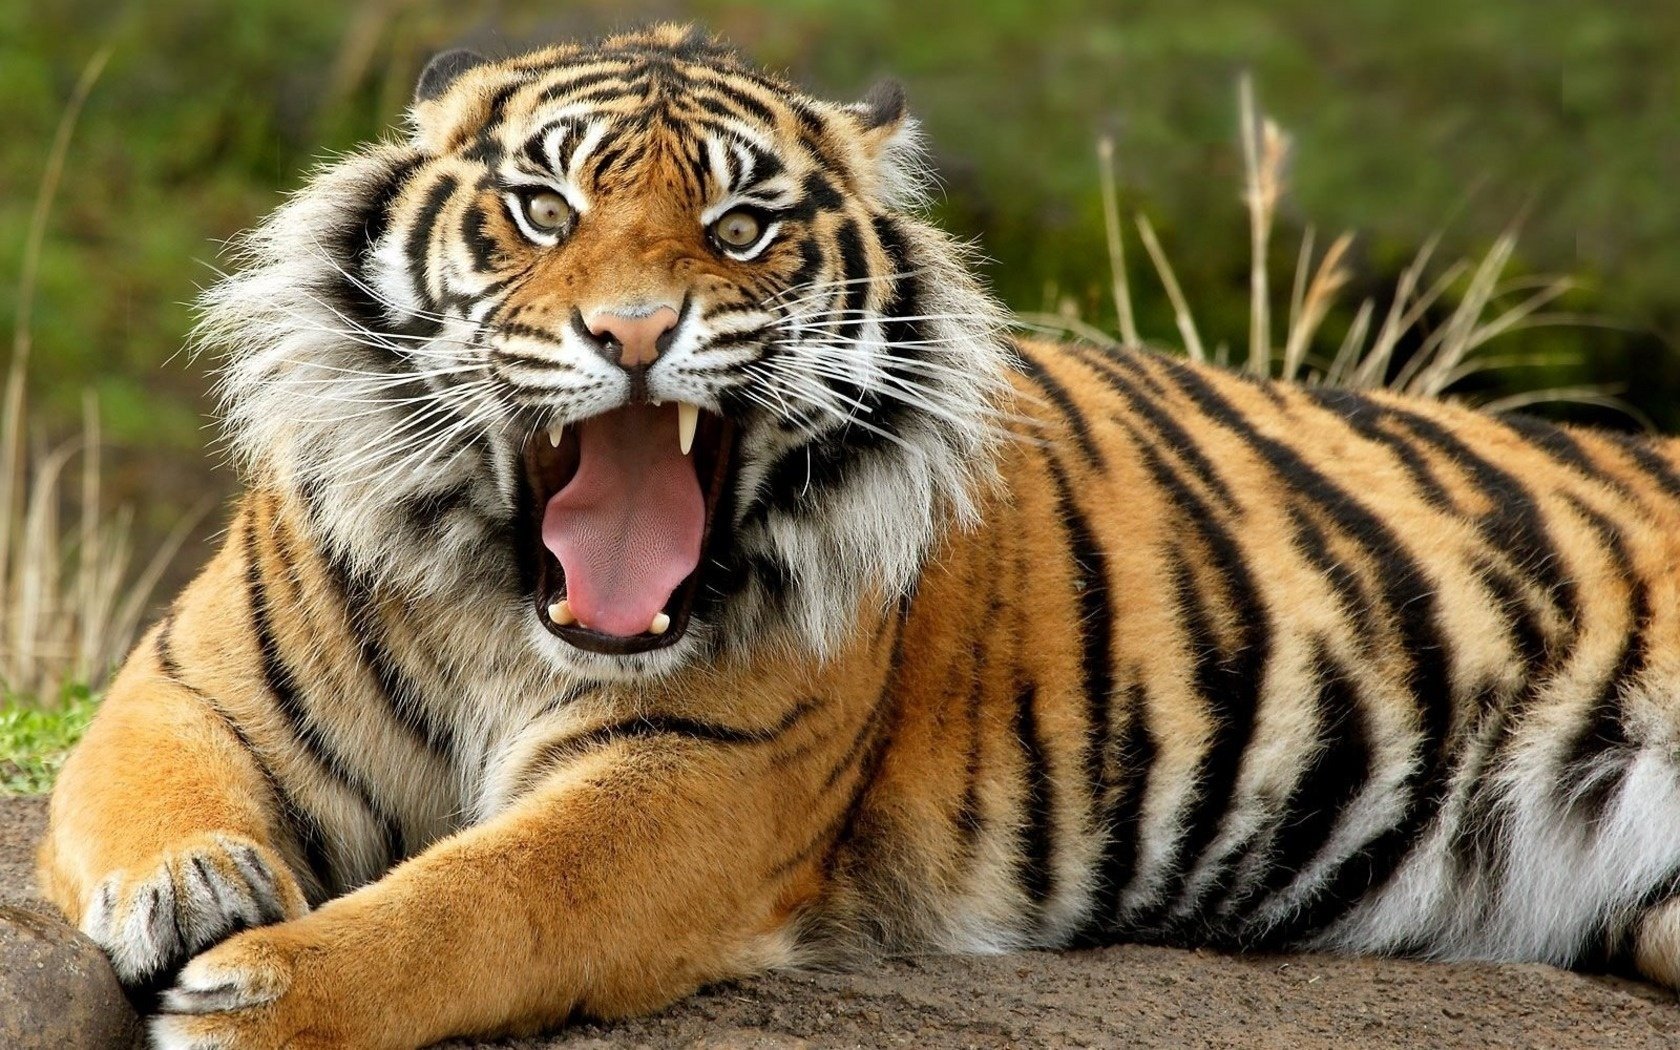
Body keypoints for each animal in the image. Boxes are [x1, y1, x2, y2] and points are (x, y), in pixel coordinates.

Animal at [35, 21, 1680, 1049]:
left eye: (742, 229)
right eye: (543, 208)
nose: (635, 332)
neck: (502, 604)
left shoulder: (691, 782)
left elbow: (478, 902)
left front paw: (258, 994)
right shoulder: (186, 681)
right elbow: (144, 790)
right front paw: (189, 890)